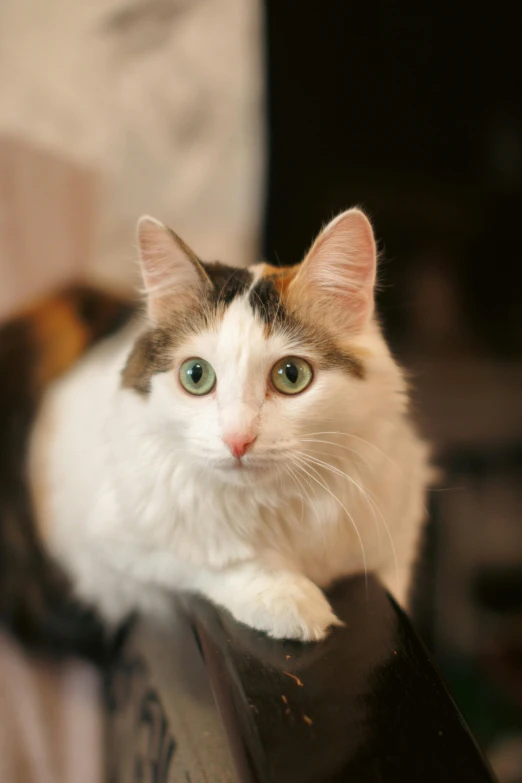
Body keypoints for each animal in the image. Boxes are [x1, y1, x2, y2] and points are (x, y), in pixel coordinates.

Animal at [2, 210, 428, 656]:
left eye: (291, 375)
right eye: (196, 375)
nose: (238, 439)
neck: (274, 504)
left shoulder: (399, 526)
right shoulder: (110, 540)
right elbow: (209, 557)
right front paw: (288, 599)